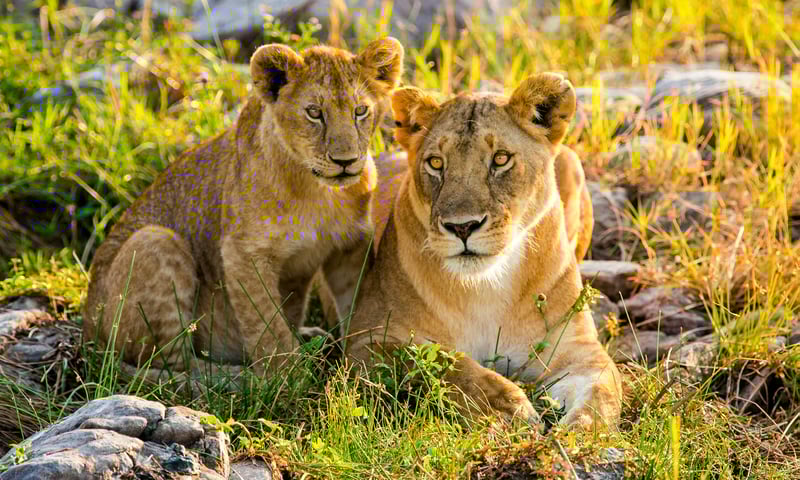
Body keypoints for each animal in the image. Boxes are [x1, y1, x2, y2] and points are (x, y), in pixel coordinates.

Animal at [82, 38, 404, 377]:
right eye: (314, 113)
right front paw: (289, 376)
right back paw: (236, 376)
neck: (320, 191)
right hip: (154, 240)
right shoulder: (243, 253)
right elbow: (266, 324)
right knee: (170, 366)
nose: (346, 161)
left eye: (360, 111)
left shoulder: (349, 247)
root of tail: (87, 330)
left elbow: (354, 303)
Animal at [346, 73, 621, 428]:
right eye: (436, 163)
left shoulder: (579, 349)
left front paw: (582, 434)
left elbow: (601, 395)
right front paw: (507, 411)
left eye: (500, 159)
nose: (462, 227)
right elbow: (449, 365)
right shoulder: (368, 340)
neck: (485, 287)